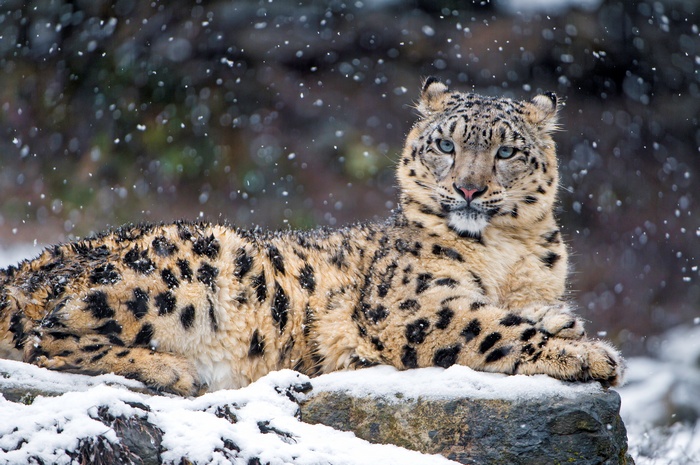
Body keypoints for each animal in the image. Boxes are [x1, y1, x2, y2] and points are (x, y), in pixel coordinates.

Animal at [0, 78, 623, 396]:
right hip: (185, 271)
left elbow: (517, 312)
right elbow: (491, 327)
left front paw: (564, 322)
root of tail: (26, 265)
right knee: (44, 338)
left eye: (507, 151)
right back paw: (169, 370)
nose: (468, 189)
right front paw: (588, 355)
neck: (508, 254)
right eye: (446, 145)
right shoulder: (412, 303)